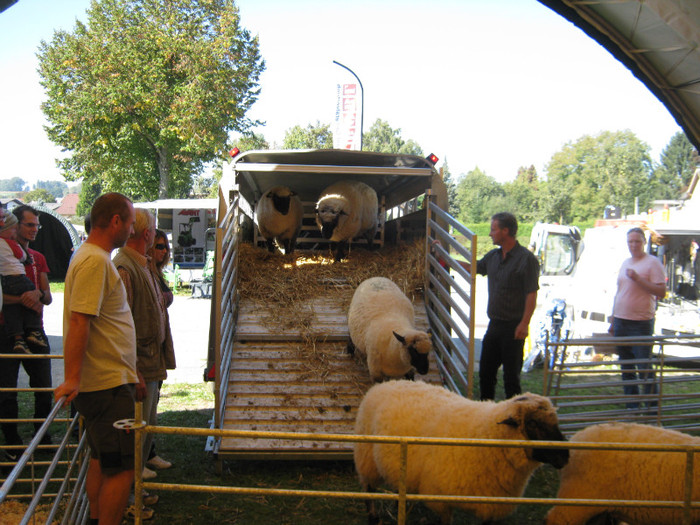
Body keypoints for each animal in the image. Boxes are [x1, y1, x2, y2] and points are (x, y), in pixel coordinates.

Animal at [356, 380, 568, 524]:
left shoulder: (492, 504)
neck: (485, 434)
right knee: (368, 487)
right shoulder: (441, 497)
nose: (565, 456)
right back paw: (373, 516)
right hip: (366, 456)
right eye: (533, 423)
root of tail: (383, 384)